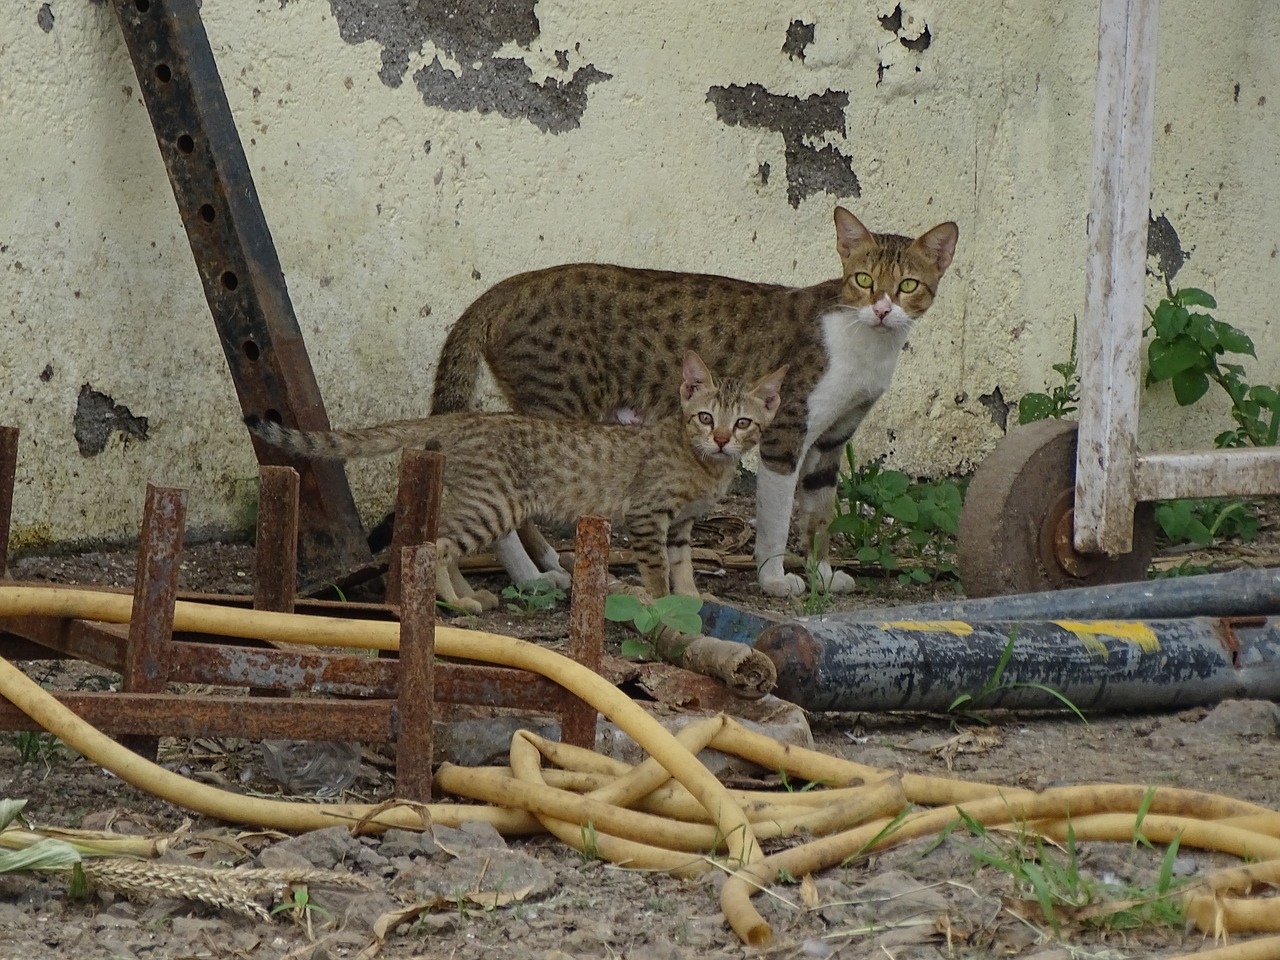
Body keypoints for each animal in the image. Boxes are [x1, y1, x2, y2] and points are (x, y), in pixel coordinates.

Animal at [240, 355, 778, 616]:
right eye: (705, 417)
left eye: (744, 422)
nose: (723, 439)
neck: (703, 462)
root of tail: (466, 418)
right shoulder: (650, 516)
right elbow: (657, 572)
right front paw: (665, 604)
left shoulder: (682, 525)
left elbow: (683, 567)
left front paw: (695, 598)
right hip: (491, 505)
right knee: (436, 547)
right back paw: (457, 603)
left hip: (474, 501)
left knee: (437, 544)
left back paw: (465, 597)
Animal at [432, 207, 962, 599]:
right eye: (863, 280)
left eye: (908, 285)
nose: (882, 309)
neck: (867, 346)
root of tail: (508, 286)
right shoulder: (786, 433)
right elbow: (777, 520)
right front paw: (774, 579)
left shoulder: (832, 441)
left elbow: (819, 514)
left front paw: (822, 574)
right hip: (558, 408)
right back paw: (530, 576)